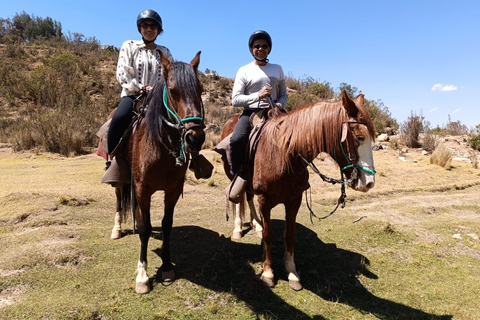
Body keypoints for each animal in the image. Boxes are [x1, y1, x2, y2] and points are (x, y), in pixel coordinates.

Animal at [112, 51, 206, 294]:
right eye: (172, 90)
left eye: (200, 89)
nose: (195, 138)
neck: (160, 147)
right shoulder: (142, 188)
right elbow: (145, 229)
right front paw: (143, 275)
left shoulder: (172, 190)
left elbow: (166, 224)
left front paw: (166, 266)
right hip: (119, 175)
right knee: (119, 198)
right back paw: (117, 229)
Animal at [220, 91, 376, 292]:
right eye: (359, 137)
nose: (369, 182)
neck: (283, 155)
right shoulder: (264, 200)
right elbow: (269, 235)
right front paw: (268, 273)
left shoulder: (294, 200)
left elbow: (290, 235)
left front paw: (292, 272)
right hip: (234, 176)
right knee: (238, 200)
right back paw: (238, 228)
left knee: (247, 197)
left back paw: (256, 224)